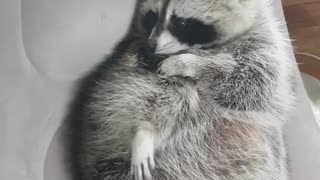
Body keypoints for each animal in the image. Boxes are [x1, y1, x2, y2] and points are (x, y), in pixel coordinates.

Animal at [69, 0, 296, 180]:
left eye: (181, 22)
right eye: (152, 16)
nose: (151, 45)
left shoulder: (265, 43)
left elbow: (252, 82)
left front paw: (191, 63)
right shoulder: (136, 58)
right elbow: (139, 86)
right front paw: (144, 127)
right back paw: (146, 128)